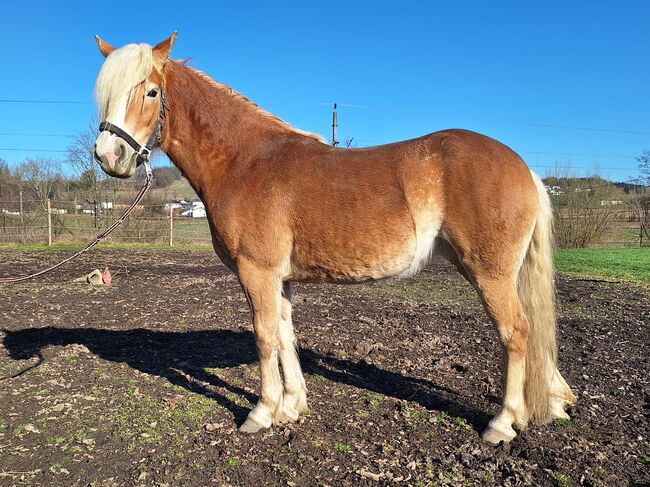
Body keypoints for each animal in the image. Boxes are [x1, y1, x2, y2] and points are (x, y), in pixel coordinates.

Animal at [91, 33, 572, 446]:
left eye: (151, 92)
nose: (108, 156)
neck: (243, 162)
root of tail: (524, 168)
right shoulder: (279, 279)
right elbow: (285, 334)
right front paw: (292, 407)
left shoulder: (256, 272)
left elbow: (264, 336)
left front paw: (261, 413)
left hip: (490, 275)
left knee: (516, 333)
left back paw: (502, 423)